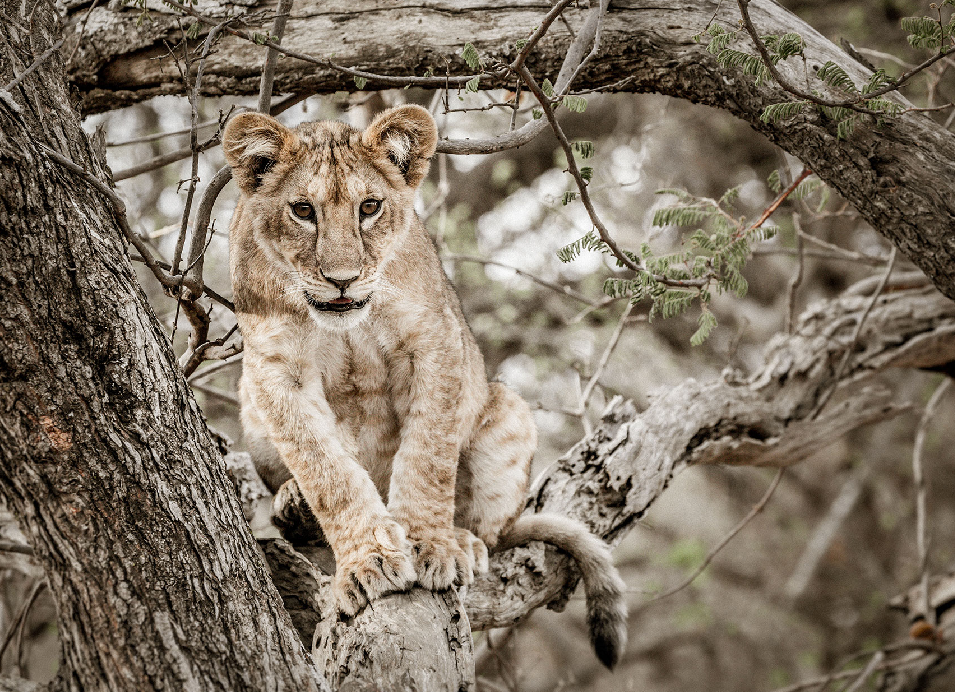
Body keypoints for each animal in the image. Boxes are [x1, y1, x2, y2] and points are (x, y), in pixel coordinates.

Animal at [222, 104, 627, 667]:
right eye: (302, 210)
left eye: (370, 207)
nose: (342, 279)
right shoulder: (275, 369)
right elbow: (328, 472)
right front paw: (368, 560)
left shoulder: (433, 340)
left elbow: (428, 456)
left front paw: (427, 545)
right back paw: (293, 505)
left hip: (508, 411)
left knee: (495, 531)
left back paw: (465, 543)